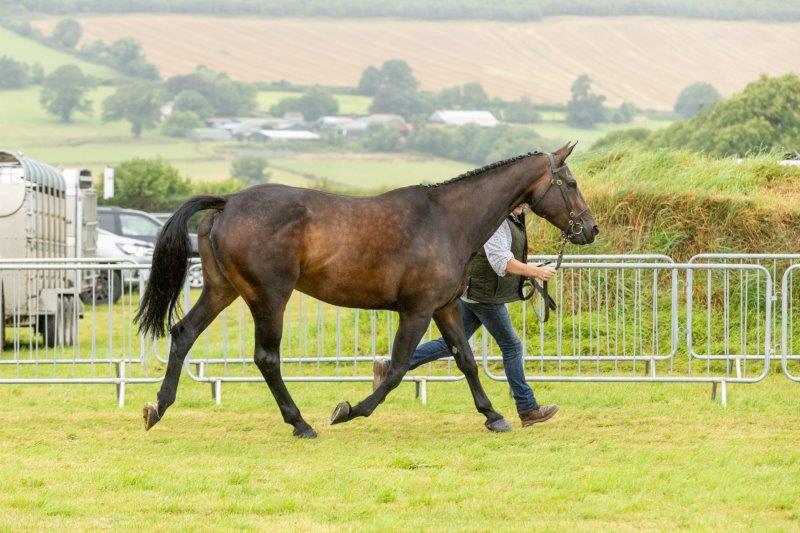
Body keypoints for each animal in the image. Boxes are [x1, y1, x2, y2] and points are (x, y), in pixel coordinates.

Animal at [136, 142, 598, 438]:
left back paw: (157, 407)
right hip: (269, 298)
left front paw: (494, 415)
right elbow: (396, 368)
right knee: (266, 358)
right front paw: (349, 411)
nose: (590, 229)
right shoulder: (416, 310)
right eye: (572, 183)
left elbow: (465, 360)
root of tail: (227, 202)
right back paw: (301, 423)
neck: (448, 220)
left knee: (183, 333)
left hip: (222, 290)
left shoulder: (446, 307)